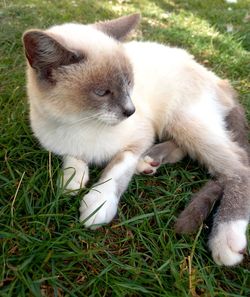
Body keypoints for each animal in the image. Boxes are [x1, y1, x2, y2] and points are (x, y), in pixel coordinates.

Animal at [22, 13, 249, 264]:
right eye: (102, 92)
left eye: (129, 83)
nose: (130, 111)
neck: (82, 122)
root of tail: (220, 80)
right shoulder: (58, 140)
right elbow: (73, 158)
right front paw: (72, 182)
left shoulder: (139, 138)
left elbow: (115, 169)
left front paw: (97, 205)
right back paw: (149, 161)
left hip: (182, 119)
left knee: (238, 168)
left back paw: (227, 238)